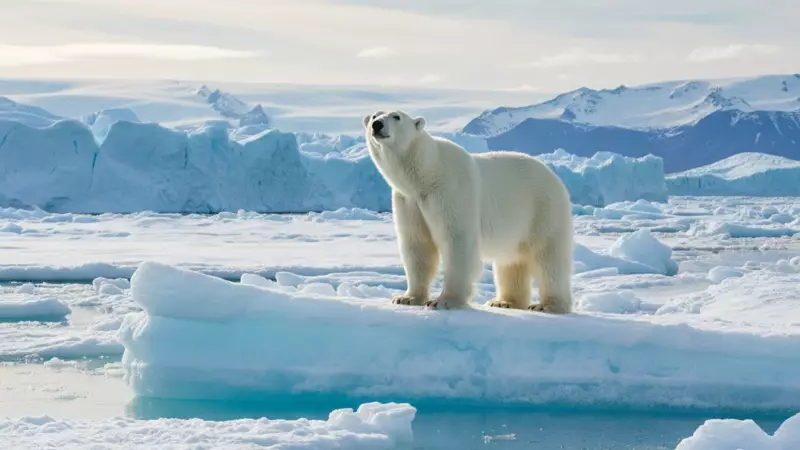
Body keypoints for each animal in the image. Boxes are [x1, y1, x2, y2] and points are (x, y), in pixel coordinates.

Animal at [363, 110, 574, 313]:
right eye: (374, 115)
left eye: (396, 116)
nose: (377, 124)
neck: (426, 173)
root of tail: (555, 178)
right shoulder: (408, 201)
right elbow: (417, 245)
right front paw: (406, 298)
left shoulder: (451, 190)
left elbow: (456, 240)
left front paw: (444, 301)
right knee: (511, 260)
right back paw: (504, 302)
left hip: (543, 210)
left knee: (548, 257)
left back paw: (548, 305)